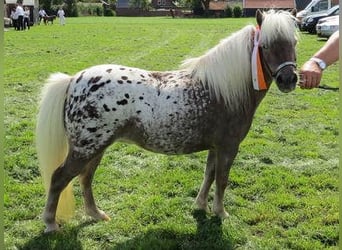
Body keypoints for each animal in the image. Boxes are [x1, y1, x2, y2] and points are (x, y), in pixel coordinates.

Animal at [37, 9, 298, 232]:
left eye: (294, 43)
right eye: (265, 46)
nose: (289, 79)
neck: (222, 90)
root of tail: (74, 80)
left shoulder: (215, 147)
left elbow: (209, 175)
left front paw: (201, 205)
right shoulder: (228, 147)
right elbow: (222, 180)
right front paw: (220, 212)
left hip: (96, 149)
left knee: (85, 178)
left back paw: (96, 214)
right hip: (85, 149)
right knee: (59, 178)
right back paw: (50, 223)